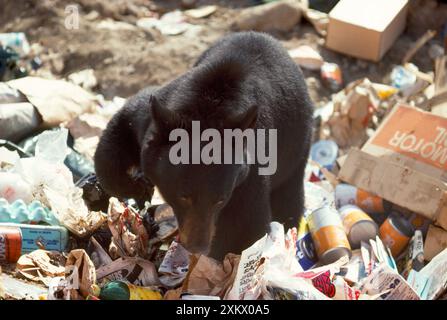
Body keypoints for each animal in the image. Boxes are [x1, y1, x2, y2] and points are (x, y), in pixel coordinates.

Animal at [94, 31, 312, 260]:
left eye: (220, 200)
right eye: (183, 196)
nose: (196, 247)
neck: (209, 107)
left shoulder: (249, 171)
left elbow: (246, 227)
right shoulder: (154, 114)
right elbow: (119, 133)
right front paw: (137, 187)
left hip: (297, 149)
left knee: (288, 199)